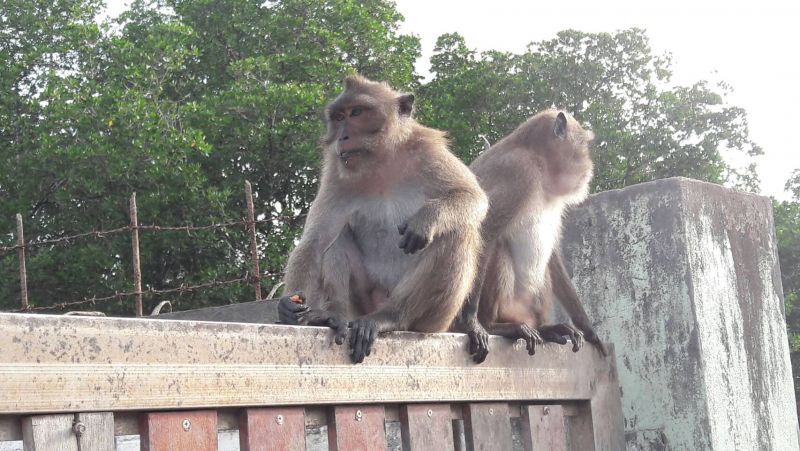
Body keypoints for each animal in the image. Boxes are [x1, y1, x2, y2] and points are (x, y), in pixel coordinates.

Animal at [276, 74, 488, 364]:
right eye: (339, 116)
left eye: (357, 113)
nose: (343, 136)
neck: (383, 162)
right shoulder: (336, 172)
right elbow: (315, 241)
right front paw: (288, 304)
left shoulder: (429, 152)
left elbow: (472, 197)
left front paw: (426, 220)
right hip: (362, 301)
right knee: (337, 235)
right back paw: (332, 315)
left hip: (436, 319)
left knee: (457, 232)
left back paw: (391, 316)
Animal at [460, 111, 608, 366]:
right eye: (583, 146)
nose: (589, 166)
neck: (538, 160)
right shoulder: (519, 172)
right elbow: (485, 233)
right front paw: (473, 325)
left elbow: (554, 257)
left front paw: (590, 330)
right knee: (498, 248)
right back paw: (494, 325)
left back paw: (546, 329)